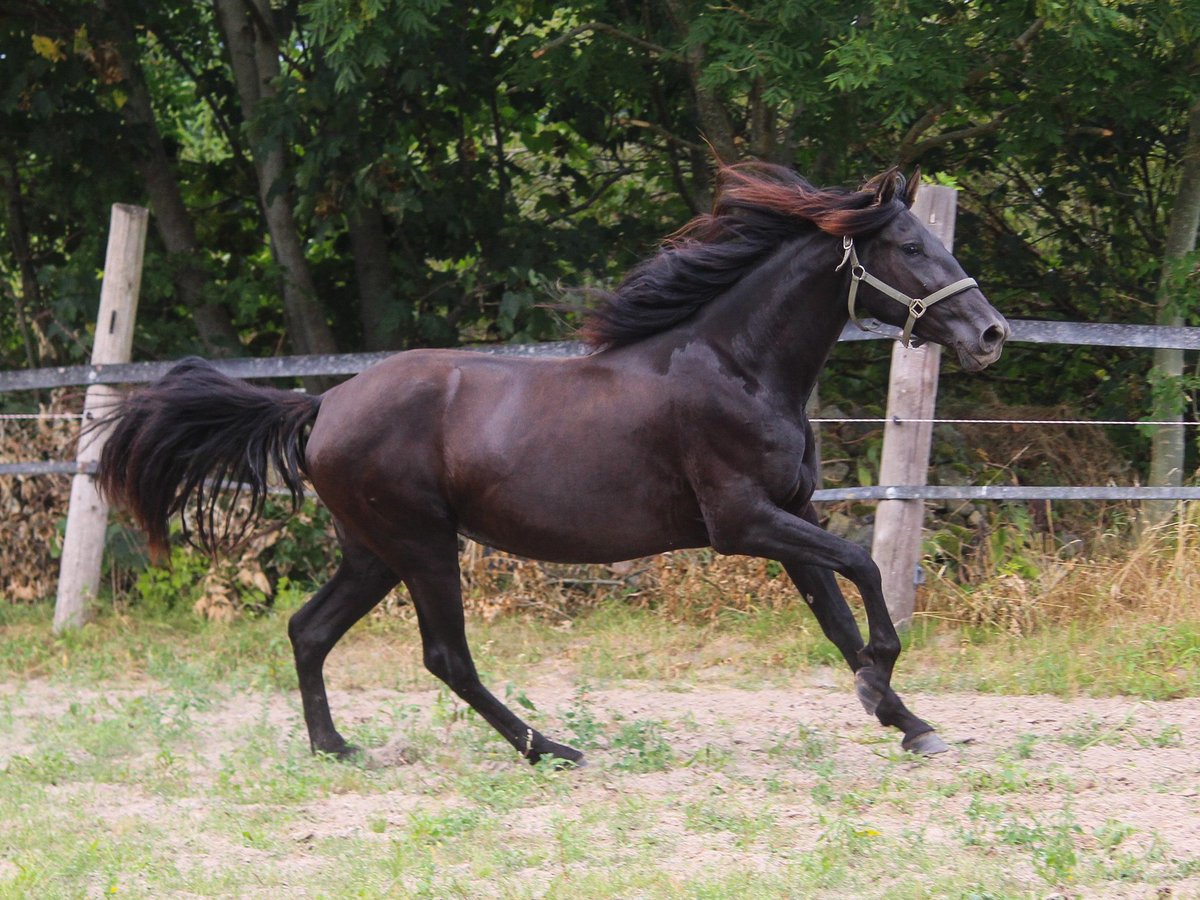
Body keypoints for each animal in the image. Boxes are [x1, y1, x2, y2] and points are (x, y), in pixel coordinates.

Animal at [96, 164, 1012, 768]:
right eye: (907, 244)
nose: (991, 333)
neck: (736, 365)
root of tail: (324, 407)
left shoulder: (792, 516)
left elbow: (837, 617)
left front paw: (907, 720)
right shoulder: (743, 523)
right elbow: (867, 571)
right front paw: (883, 690)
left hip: (374, 552)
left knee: (308, 629)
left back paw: (337, 748)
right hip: (423, 545)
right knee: (445, 657)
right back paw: (550, 747)